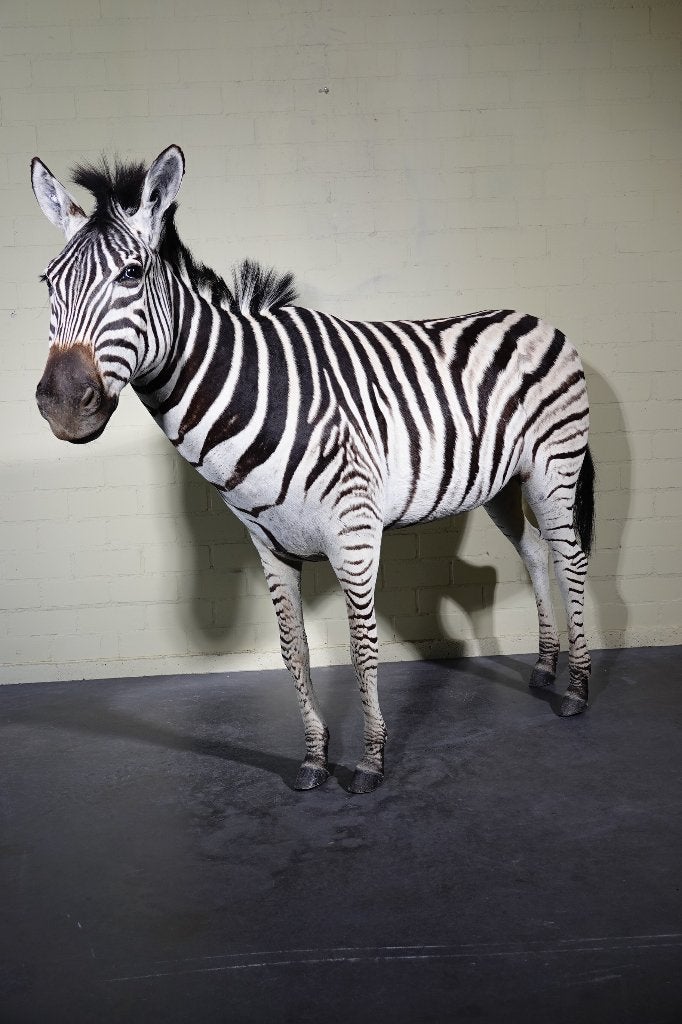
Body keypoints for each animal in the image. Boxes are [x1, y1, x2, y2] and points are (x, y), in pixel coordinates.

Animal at [31, 145, 595, 794]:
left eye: (129, 274)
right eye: (47, 283)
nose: (62, 403)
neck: (254, 397)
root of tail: (538, 320)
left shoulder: (354, 534)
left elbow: (361, 649)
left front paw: (370, 761)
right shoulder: (270, 546)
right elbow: (293, 651)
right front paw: (314, 758)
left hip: (555, 467)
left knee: (571, 559)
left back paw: (577, 689)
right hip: (502, 483)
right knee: (533, 551)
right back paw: (545, 667)